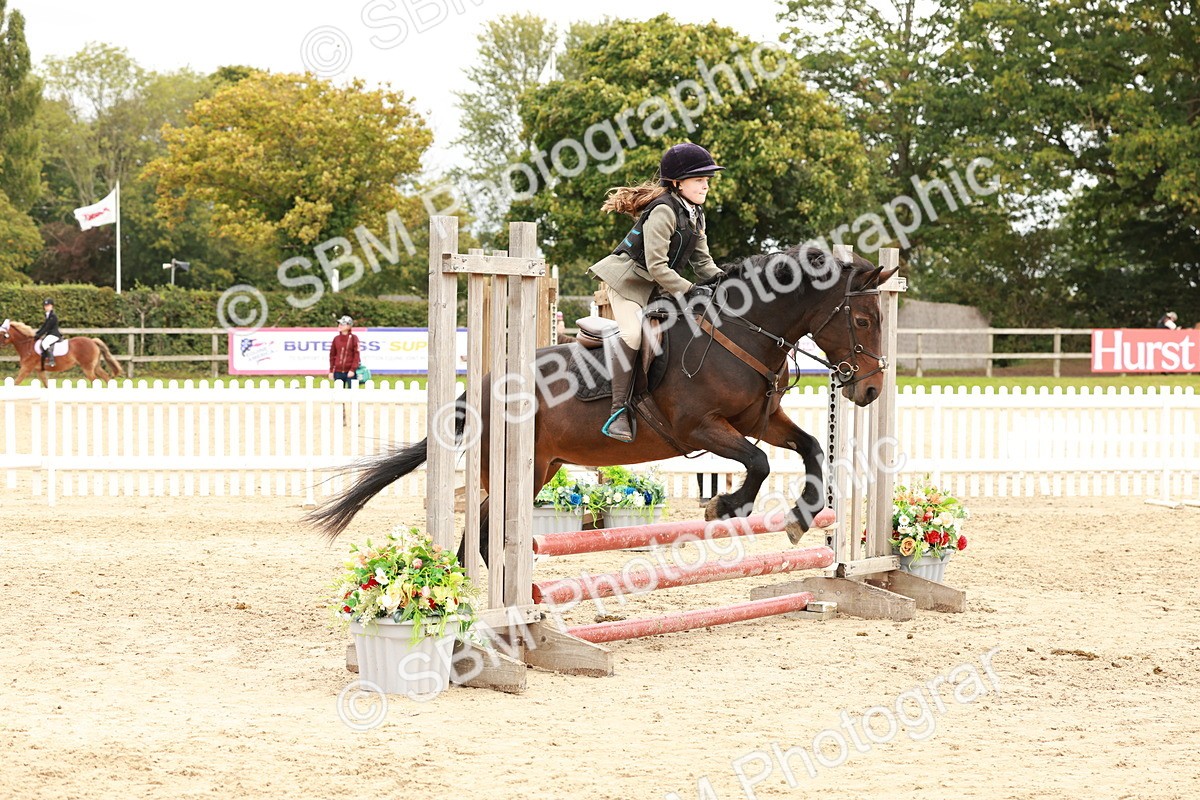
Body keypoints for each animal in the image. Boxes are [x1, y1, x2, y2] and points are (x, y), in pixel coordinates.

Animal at [309, 245, 899, 566]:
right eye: (862, 319)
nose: (869, 390)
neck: (741, 331)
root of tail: (480, 387)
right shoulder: (699, 426)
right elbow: (757, 463)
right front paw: (726, 507)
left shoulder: (760, 419)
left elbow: (809, 448)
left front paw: (802, 515)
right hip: (514, 468)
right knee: (484, 528)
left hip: (542, 467)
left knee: (480, 530)